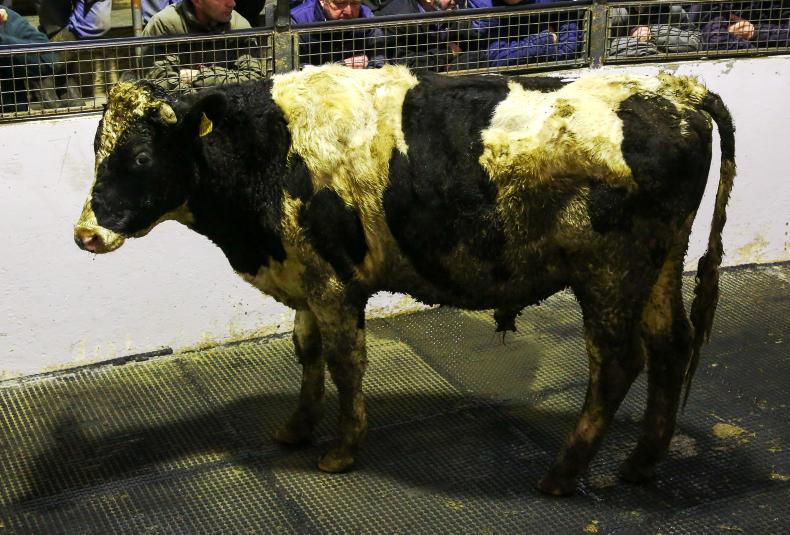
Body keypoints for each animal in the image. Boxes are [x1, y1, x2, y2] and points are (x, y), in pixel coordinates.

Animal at [74, 64, 735, 495]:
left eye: (138, 157)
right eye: (96, 150)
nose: (85, 234)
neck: (270, 147)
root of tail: (675, 89)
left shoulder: (334, 282)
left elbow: (345, 362)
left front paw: (342, 449)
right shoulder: (306, 276)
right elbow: (307, 353)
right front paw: (296, 428)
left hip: (609, 273)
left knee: (617, 362)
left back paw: (564, 473)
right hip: (658, 265)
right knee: (670, 346)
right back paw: (642, 461)